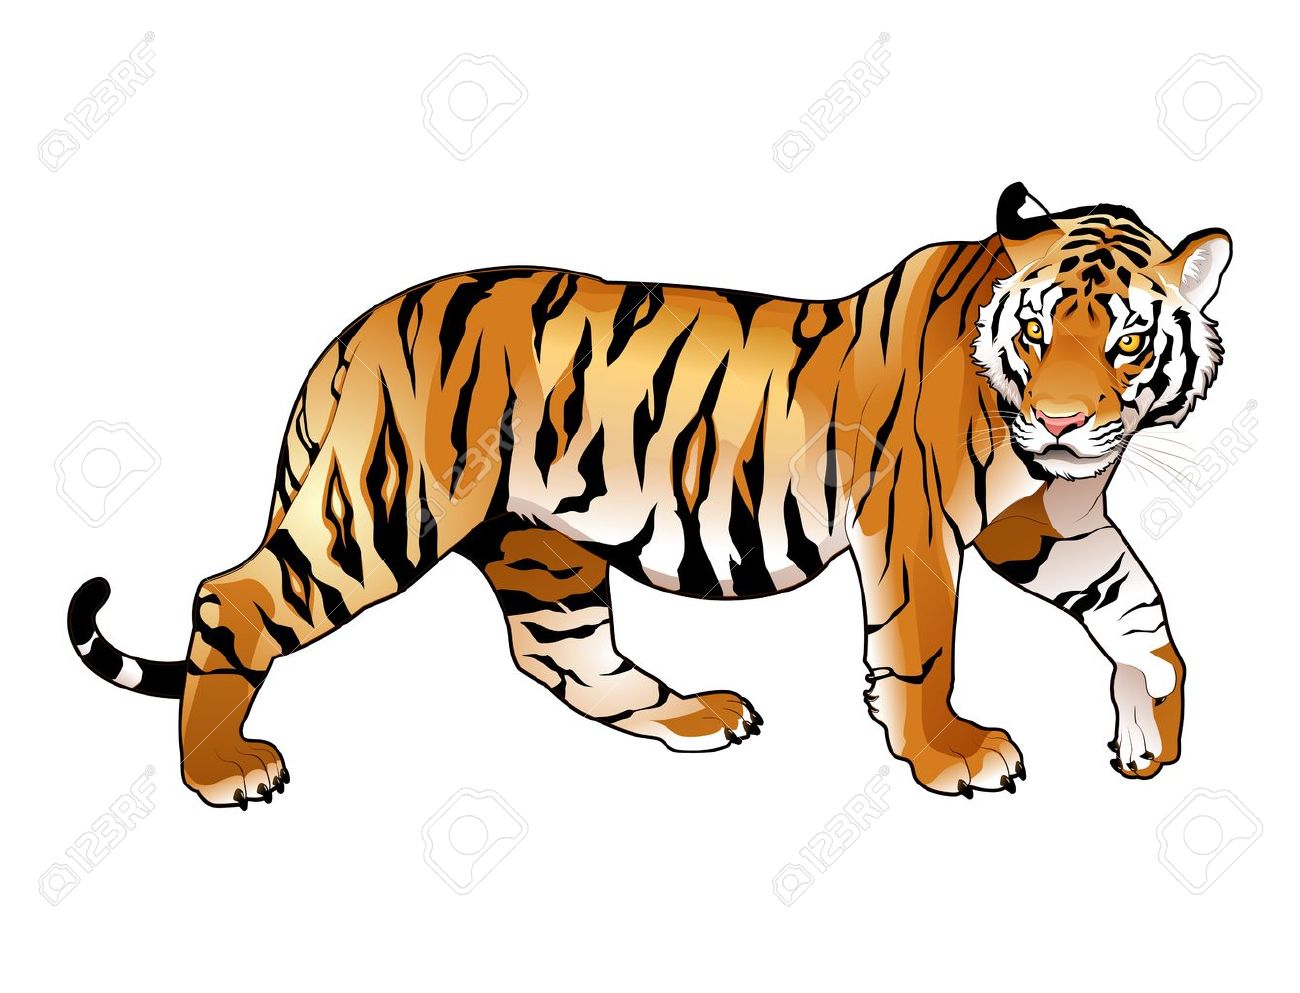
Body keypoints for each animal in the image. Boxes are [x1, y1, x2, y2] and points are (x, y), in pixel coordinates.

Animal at [67, 182, 1231, 806]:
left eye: (1126, 342)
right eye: (1036, 332)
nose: (1066, 423)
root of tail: (350, 333)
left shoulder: (1048, 524)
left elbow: (1142, 614)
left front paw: (1151, 732)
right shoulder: (913, 526)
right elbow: (924, 646)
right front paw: (951, 755)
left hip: (540, 546)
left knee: (562, 658)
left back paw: (695, 715)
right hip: (379, 511)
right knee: (232, 596)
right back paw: (224, 770)